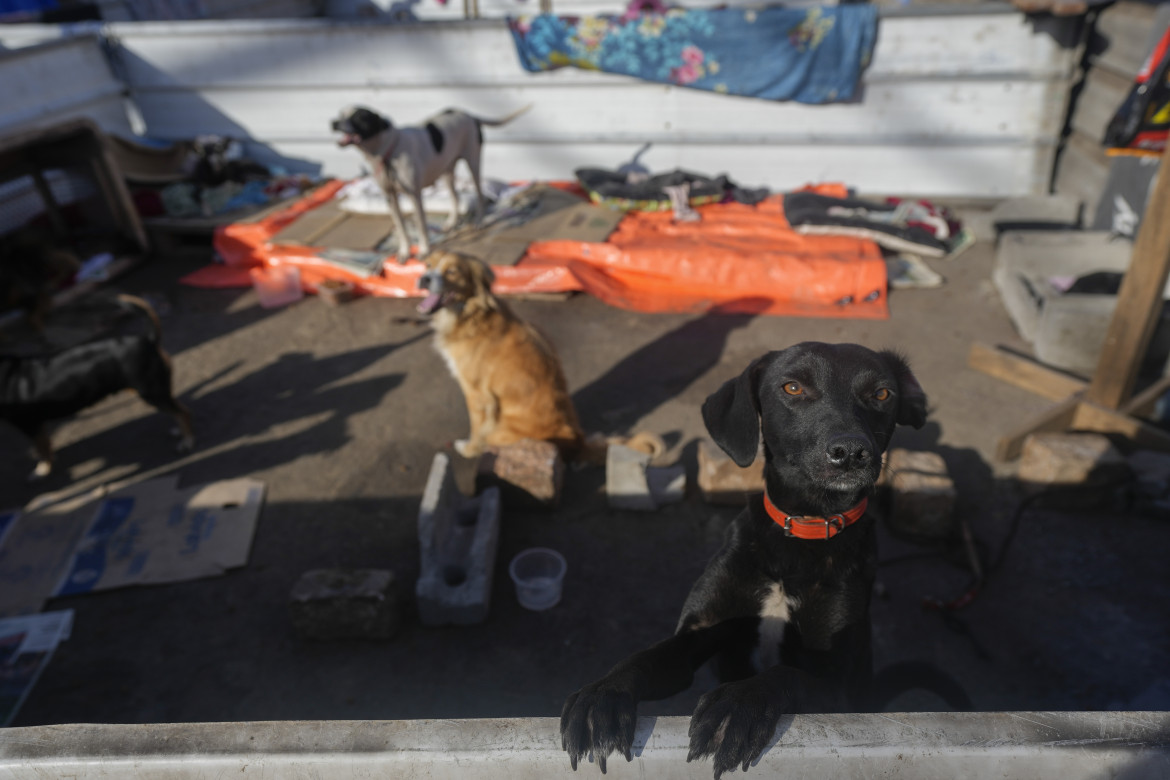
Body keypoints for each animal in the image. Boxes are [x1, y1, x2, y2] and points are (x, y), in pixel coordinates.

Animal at [0, 292, 194, 477]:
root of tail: (148, 339)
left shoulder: (29, 424)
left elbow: (42, 449)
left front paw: (43, 469)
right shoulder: (36, 424)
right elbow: (45, 444)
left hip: (151, 392)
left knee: (183, 412)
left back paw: (187, 441)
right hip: (153, 391)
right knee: (177, 408)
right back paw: (180, 431)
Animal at [556, 343, 940, 776]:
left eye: (881, 394)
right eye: (793, 387)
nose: (851, 452)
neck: (801, 531)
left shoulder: (837, 689)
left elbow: (785, 673)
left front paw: (738, 704)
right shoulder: (696, 635)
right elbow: (644, 658)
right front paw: (602, 696)